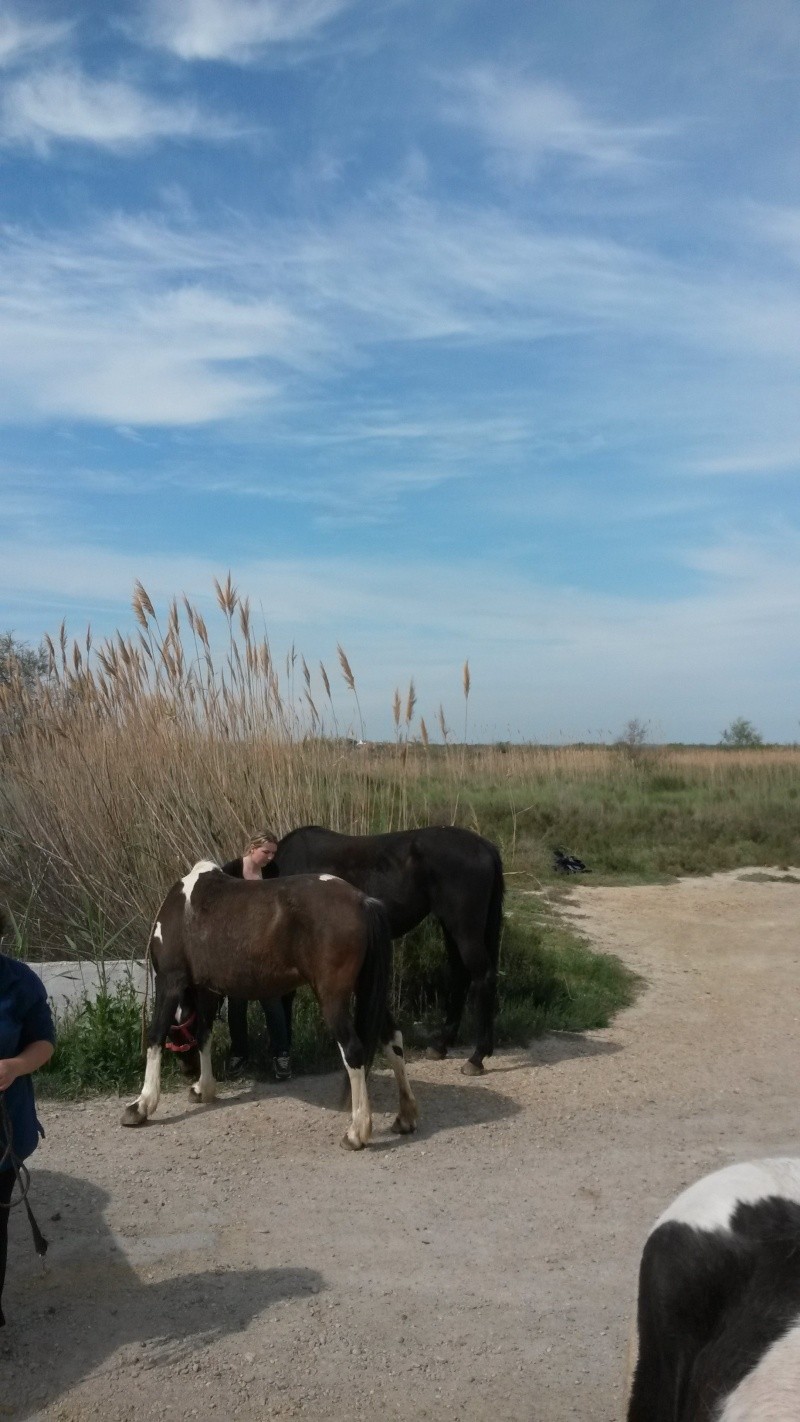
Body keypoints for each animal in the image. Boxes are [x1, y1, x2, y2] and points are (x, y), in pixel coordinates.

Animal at [121, 858, 420, 1148]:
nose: (187, 1070)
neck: (184, 908)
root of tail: (362, 900)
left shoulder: (170, 980)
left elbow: (155, 1036)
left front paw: (142, 1105)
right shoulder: (205, 988)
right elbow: (204, 1033)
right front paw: (203, 1088)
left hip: (333, 997)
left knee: (353, 1051)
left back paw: (357, 1133)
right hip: (367, 988)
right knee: (392, 1039)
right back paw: (405, 1116)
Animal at [272, 824, 503, 1075]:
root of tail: (484, 846)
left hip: (464, 928)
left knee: (482, 976)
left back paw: (477, 1056)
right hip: (450, 927)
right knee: (460, 976)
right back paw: (441, 1044)